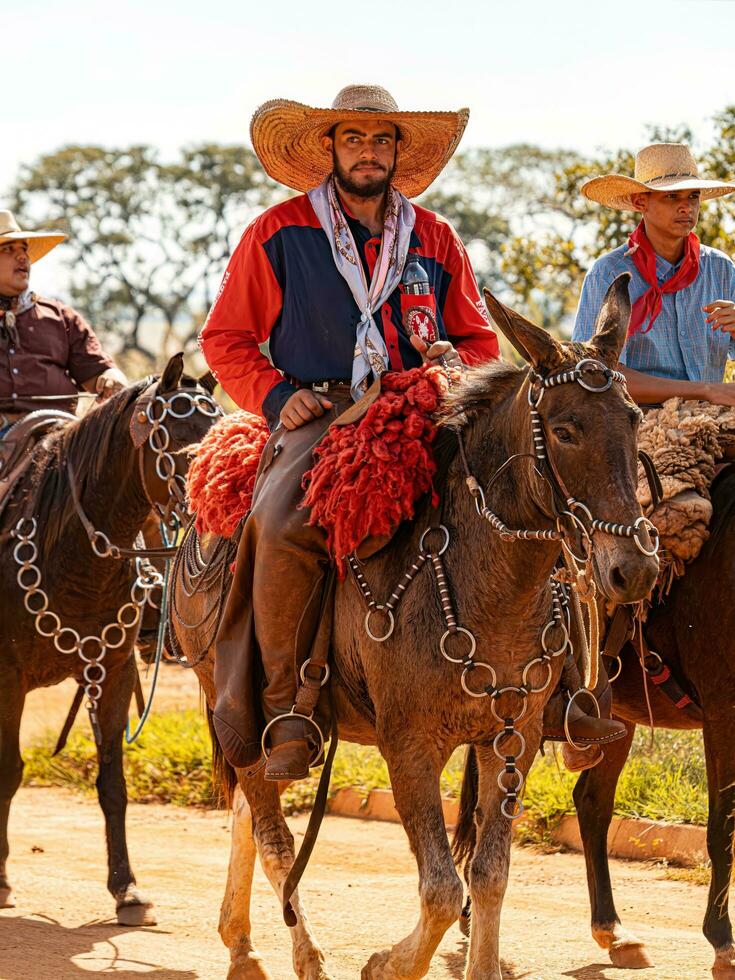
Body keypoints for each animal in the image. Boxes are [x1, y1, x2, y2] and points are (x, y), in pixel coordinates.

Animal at [0, 356, 218, 924]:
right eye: (179, 442)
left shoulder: (113, 672)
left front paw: (127, 888)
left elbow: (112, 785)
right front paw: (3, 879)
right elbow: (9, 772)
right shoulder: (8, 678)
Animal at [174, 278, 660, 980]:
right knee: (272, 833)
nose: (634, 569)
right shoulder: (408, 747)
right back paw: (301, 954)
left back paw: (240, 941)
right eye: (566, 430)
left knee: (246, 812)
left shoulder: (510, 739)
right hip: (231, 697)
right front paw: (385, 963)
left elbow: (489, 876)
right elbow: (441, 891)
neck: (482, 580)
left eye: (633, 419)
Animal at [576, 464, 735, 976]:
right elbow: (723, 825)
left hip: (610, 717)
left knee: (591, 802)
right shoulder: (723, 713)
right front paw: (722, 941)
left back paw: (614, 932)